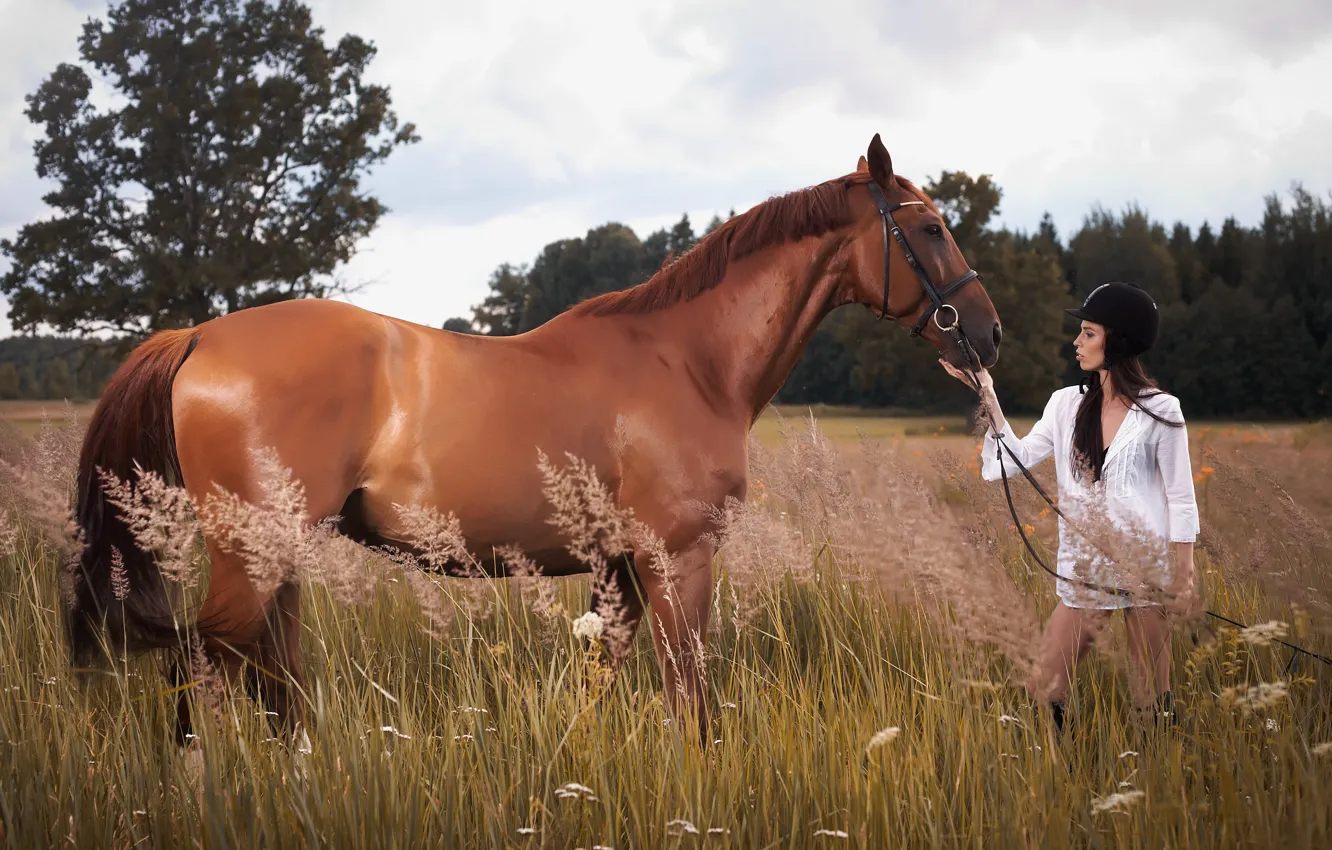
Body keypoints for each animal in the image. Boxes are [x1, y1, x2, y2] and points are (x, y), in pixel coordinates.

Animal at [65, 133, 1002, 743]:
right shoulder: (678, 559)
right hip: (251, 558)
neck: (688, 359)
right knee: (199, 677)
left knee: (272, 685)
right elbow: (691, 704)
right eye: (928, 228)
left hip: (280, 557)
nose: (986, 336)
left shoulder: (620, 569)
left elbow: (605, 686)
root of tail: (197, 337)